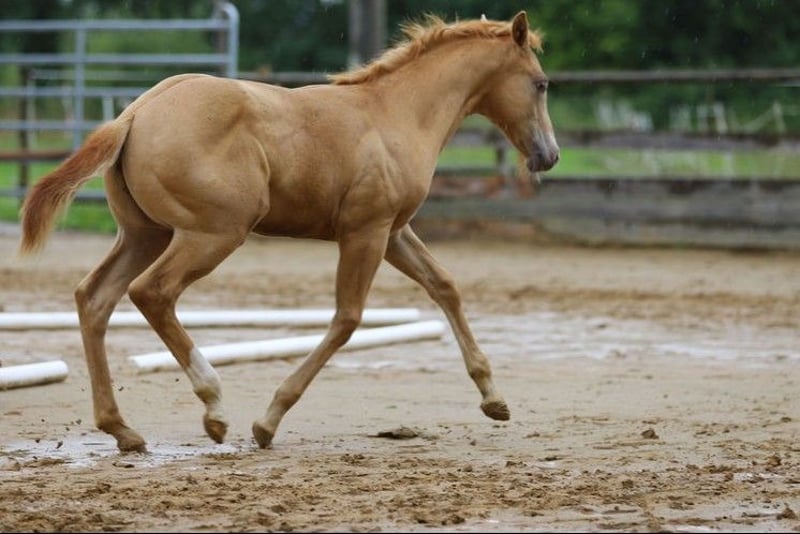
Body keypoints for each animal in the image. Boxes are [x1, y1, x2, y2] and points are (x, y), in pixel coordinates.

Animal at [18, 10, 559, 453]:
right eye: (541, 83)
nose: (549, 156)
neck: (395, 114)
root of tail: (136, 112)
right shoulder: (366, 231)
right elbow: (347, 319)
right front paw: (269, 421)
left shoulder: (393, 231)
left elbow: (444, 286)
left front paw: (494, 399)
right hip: (214, 234)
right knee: (151, 292)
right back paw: (214, 407)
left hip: (143, 234)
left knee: (95, 298)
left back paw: (123, 430)